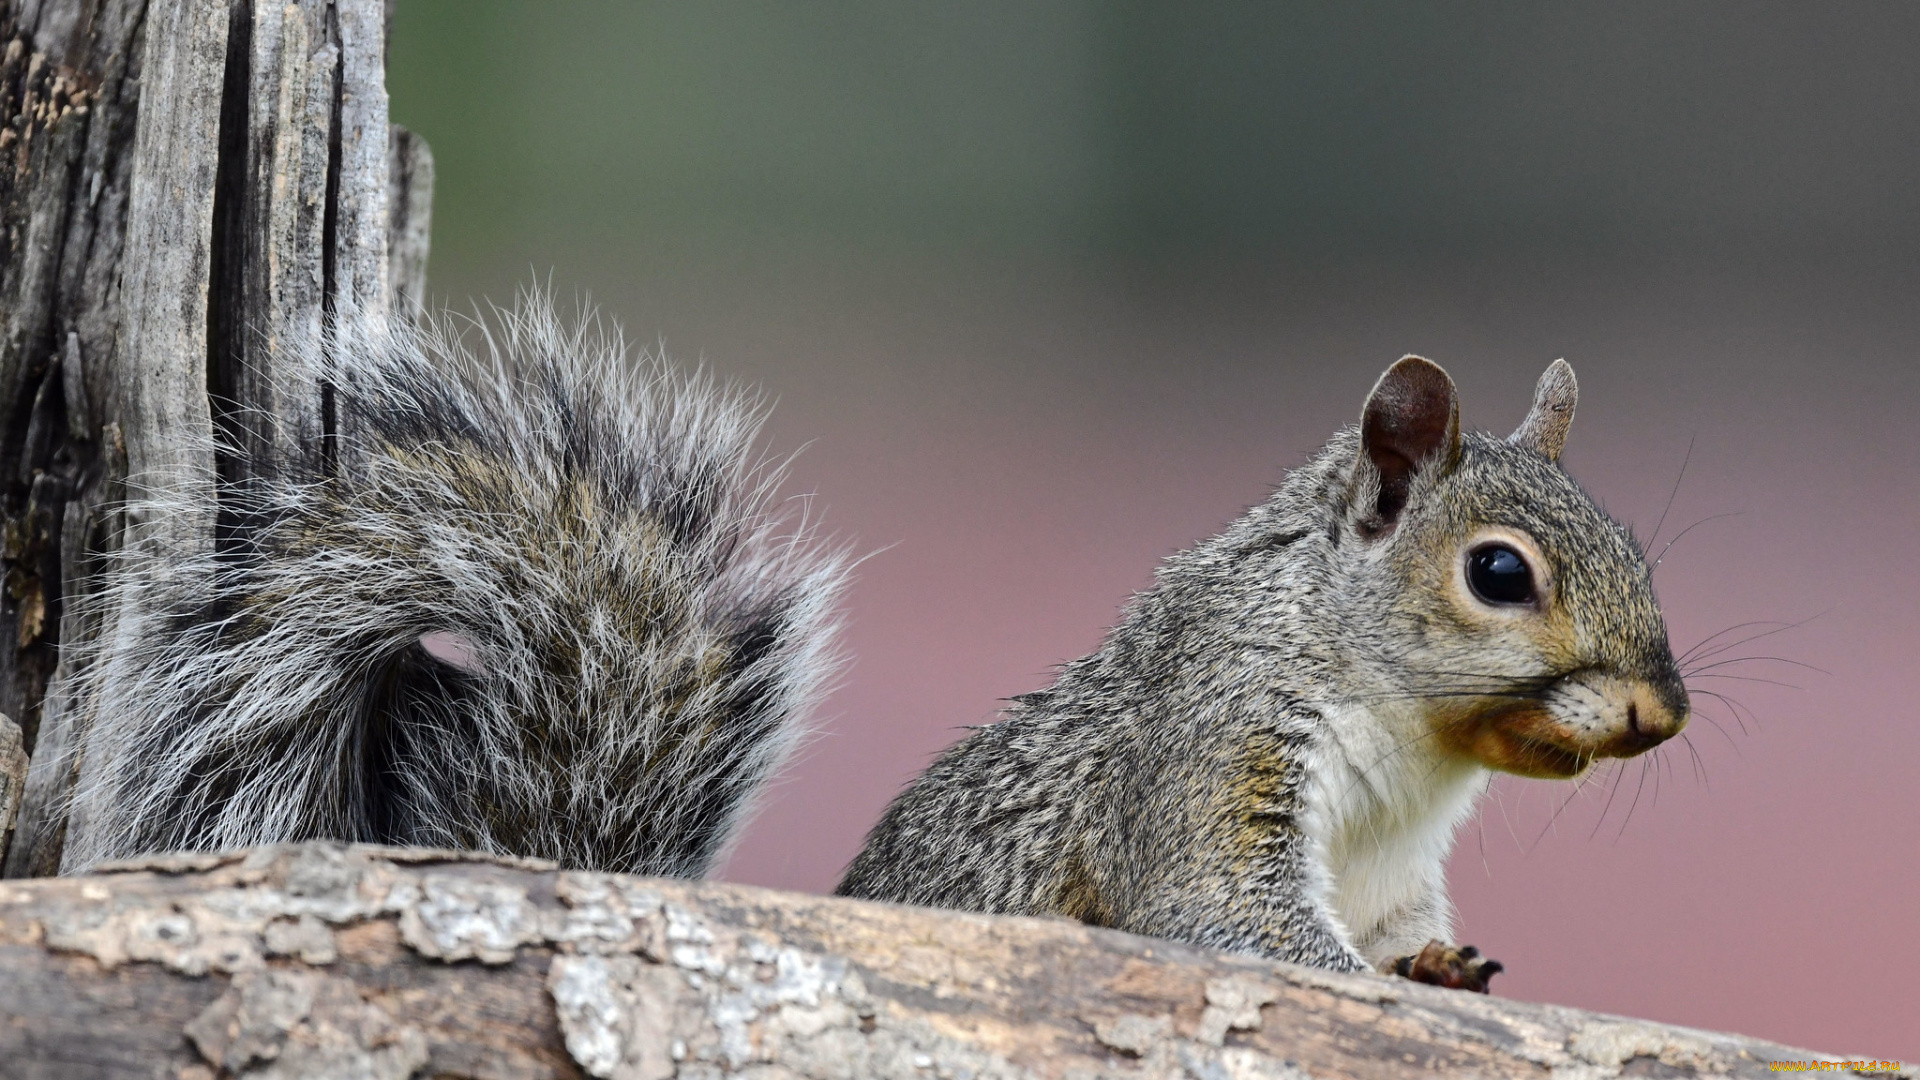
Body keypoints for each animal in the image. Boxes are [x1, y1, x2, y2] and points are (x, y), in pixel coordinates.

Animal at [56, 294, 1681, 991]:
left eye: (1640, 547)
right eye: (1497, 573)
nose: (1662, 714)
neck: (1409, 746)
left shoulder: (1394, 862)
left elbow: (1401, 929)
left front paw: (1443, 970)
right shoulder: (1208, 754)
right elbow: (1226, 917)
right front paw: (1372, 987)